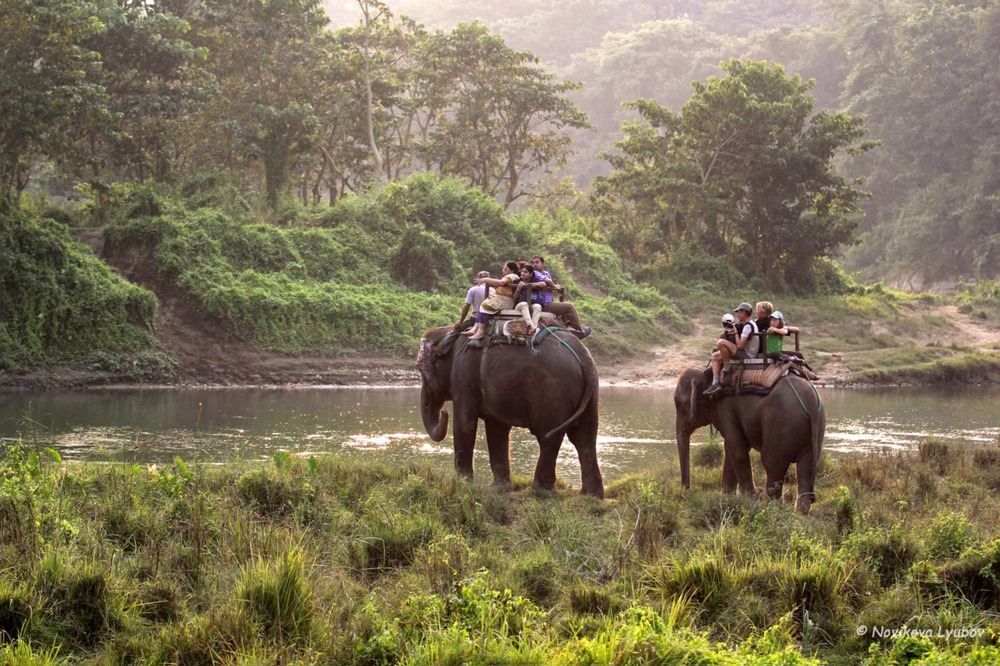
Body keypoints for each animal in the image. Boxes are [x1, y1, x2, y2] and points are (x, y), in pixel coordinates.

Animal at [418, 324, 604, 496]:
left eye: (420, 369)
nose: (444, 413)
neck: (450, 332)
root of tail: (583, 354)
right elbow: (497, 428)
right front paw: (499, 488)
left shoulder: (463, 374)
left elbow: (466, 424)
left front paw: (462, 484)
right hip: (591, 393)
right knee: (584, 438)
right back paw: (590, 495)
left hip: (553, 392)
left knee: (549, 436)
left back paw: (539, 490)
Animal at [672, 366, 828, 510]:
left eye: (679, 404)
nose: (686, 491)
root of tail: (810, 401)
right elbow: (731, 450)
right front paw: (726, 497)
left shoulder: (726, 409)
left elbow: (738, 451)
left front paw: (750, 500)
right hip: (815, 427)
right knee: (806, 468)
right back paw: (800, 514)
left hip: (781, 423)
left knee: (772, 464)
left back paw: (772, 509)